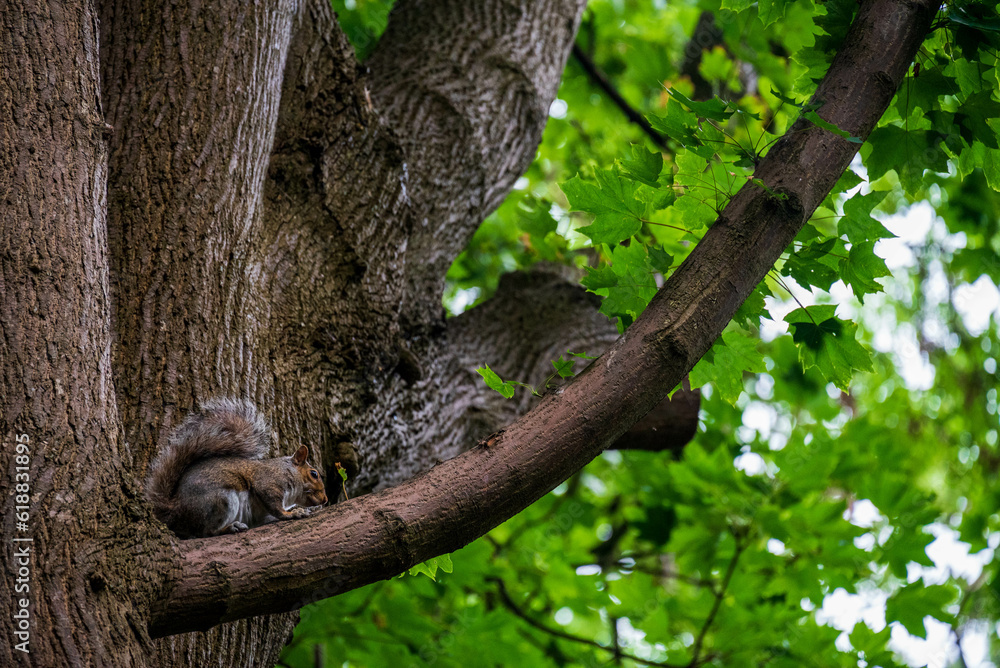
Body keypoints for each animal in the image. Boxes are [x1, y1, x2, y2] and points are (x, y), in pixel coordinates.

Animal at [146, 398, 329, 538]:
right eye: (314, 474)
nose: (325, 500)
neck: (287, 471)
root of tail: (175, 509)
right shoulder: (268, 482)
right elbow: (275, 506)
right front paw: (293, 513)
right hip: (220, 501)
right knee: (207, 531)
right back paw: (230, 527)